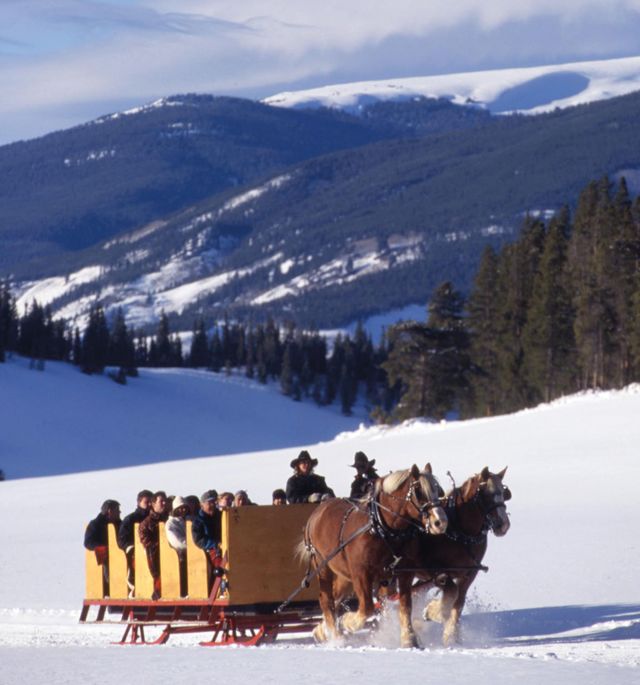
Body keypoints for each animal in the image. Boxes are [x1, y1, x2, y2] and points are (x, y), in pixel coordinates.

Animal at [302, 464, 448, 648]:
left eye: (438, 490)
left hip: (344, 576)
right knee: (326, 600)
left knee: (335, 600)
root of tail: (318, 511)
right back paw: (337, 636)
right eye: (418, 492)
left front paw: (409, 639)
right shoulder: (361, 574)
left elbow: (405, 605)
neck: (381, 528)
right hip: (323, 567)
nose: (440, 522)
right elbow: (367, 608)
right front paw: (347, 622)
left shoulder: (403, 572)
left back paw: (321, 631)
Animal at [408, 464, 512, 648]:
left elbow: (458, 602)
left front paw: (452, 636)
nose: (503, 524)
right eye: (485, 494)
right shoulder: (436, 571)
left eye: (504, 493)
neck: (460, 530)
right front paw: (433, 612)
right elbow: (451, 593)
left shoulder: (469, 573)